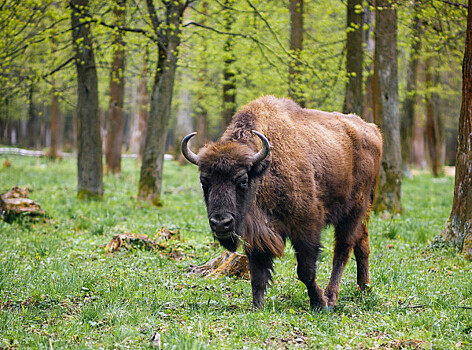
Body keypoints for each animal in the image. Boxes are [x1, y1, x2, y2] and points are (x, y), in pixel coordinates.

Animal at [182, 95, 384, 308]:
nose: (221, 223)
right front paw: (257, 307)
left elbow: (305, 271)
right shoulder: (256, 234)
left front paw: (319, 302)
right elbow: (257, 274)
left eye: (242, 180)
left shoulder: (307, 225)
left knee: (342, 250)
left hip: (354, 210)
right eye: (204, 182)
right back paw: (364, 288)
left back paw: (331, 296)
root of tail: (372, 129)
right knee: (362, 241)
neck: (263, 170)